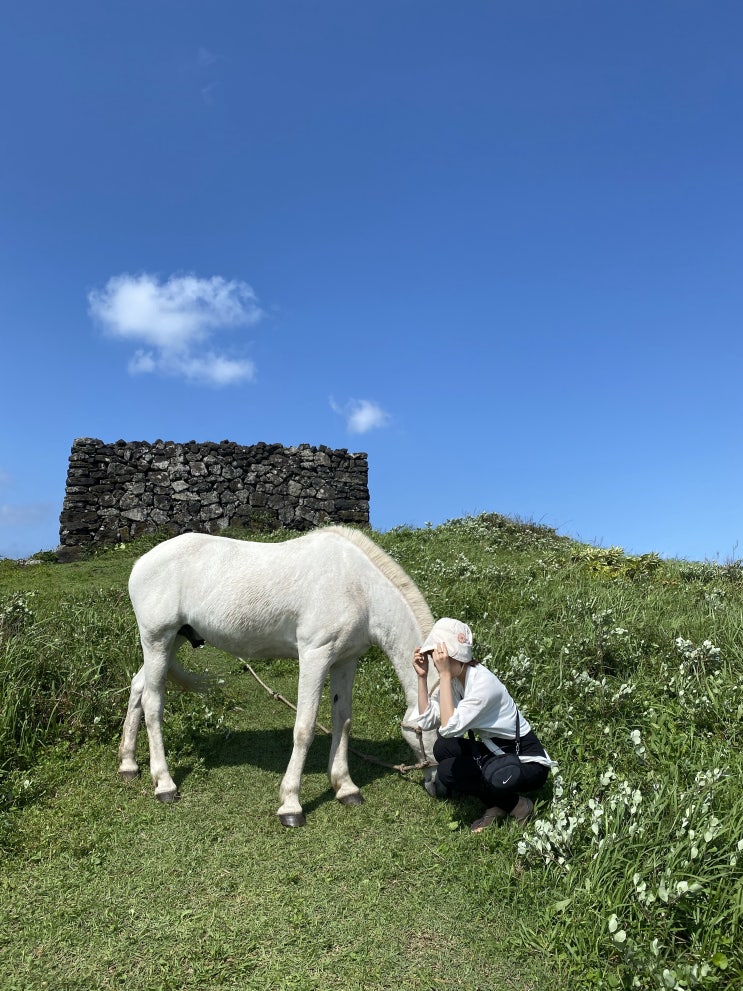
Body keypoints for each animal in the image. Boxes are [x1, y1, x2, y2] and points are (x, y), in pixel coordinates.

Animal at [119, 528, 438, 820]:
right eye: (440, 730)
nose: (438, 787)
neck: (358, 587)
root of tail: (140, 563)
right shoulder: (315, 655)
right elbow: (305, 727)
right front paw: (291, 804)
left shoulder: (345, 661)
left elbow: (343, 721)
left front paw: (346, 787)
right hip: (158, 639)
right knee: (152, 703)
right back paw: (164, 784)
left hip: (173, 641)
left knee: (137, 687)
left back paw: (128, 764)